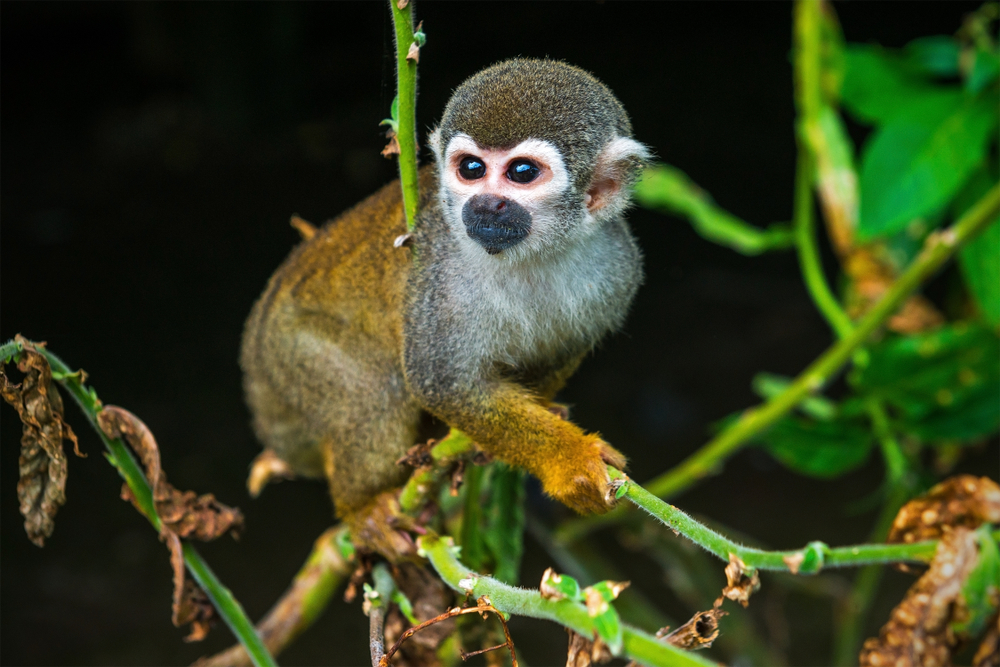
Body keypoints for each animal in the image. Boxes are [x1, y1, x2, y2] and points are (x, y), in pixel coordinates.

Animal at [242, 60, 648, 556]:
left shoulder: (618, 267)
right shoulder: (443, 273)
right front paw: (567, 461)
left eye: (522, 172)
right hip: (290, 352)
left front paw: (527, 423)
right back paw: (363, 508)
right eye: (471, 168)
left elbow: (563, 351)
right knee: (372, 392)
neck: (532, 255)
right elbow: (442, 381)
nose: (486, 203)